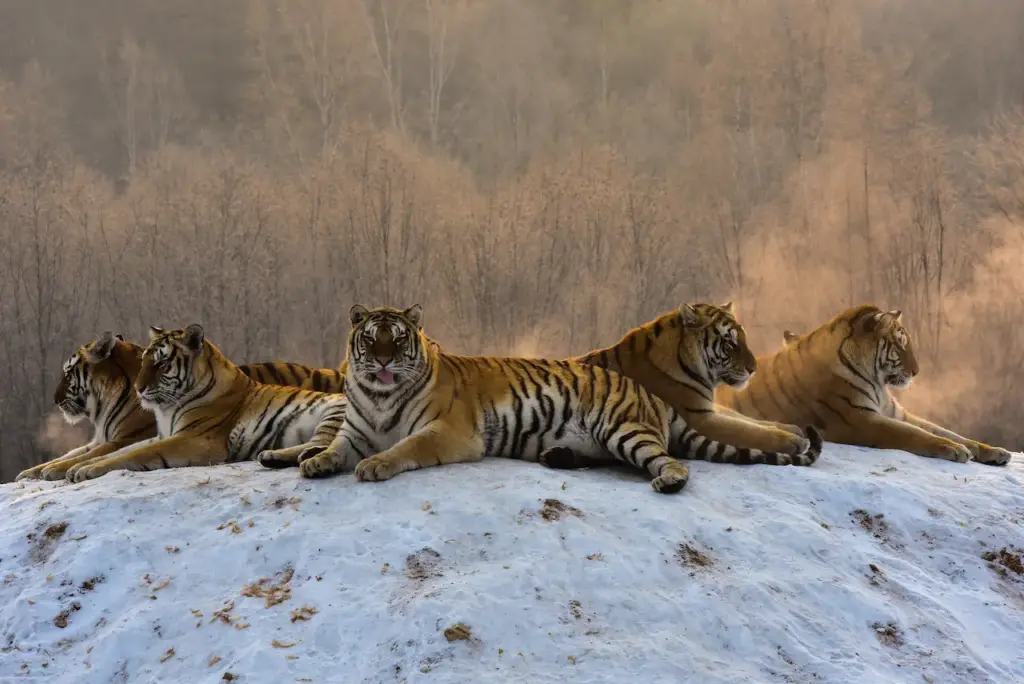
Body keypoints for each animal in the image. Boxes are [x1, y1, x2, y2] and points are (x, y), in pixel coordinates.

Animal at [14, 331, 348, 481]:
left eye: (69, 372)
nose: (55, 399)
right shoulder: (129, 437)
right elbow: (75, 454)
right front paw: (37, 471)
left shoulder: (184, 438)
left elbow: (128, 454)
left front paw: (79, 470)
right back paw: (271, 456)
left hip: (331, 414)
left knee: (321, 444)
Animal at [577, 301, 815, 458]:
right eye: (730, 343)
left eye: (744, 339)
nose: (753, 369)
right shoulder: (700, 419)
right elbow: (747, 430)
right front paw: (794, 441)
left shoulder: (707, 407)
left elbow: (747, 419)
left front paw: (791, 428)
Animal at [716, 305, 1011, 464]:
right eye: (900, 344)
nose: (916, 372)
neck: (878, 382)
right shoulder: (859, 419)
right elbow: (914, 434)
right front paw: (954, 450)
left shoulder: (896, 413)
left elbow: (948, 431)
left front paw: (994, 451)